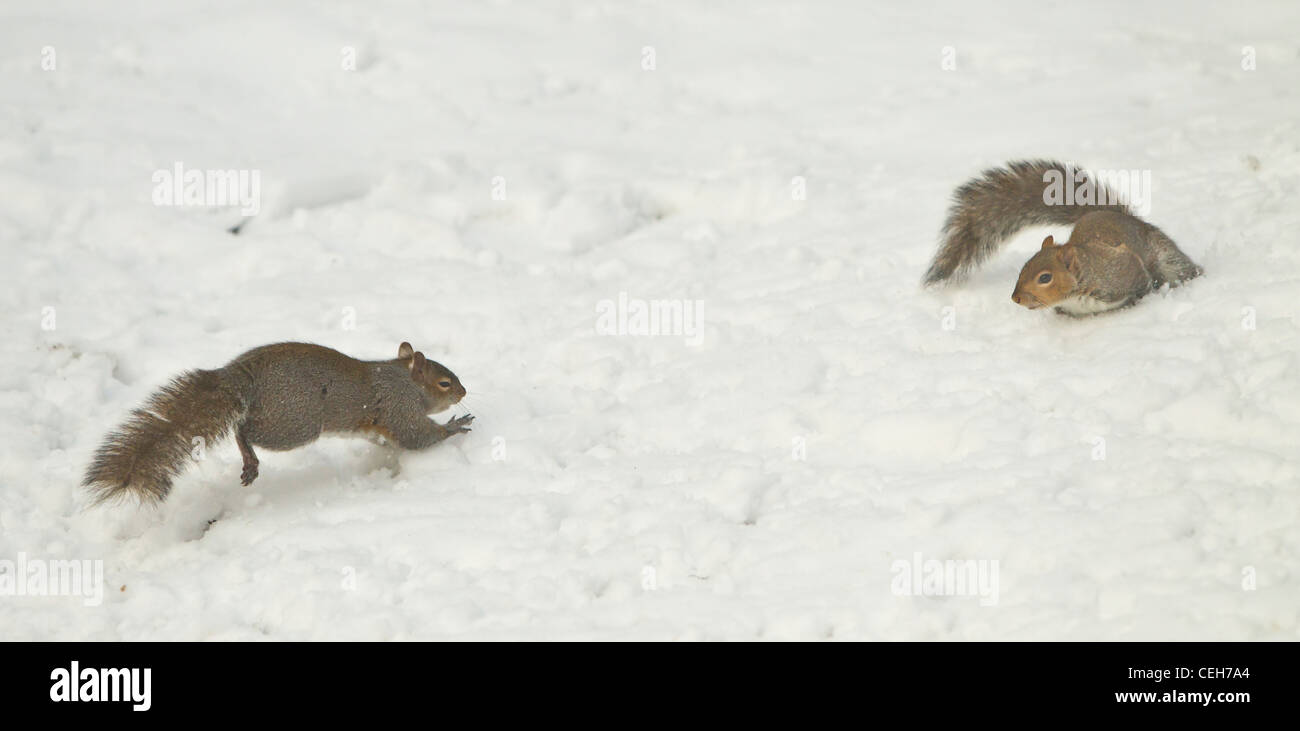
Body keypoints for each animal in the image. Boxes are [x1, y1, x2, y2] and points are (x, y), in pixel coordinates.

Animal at [79, 340, 473, 499]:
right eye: (444, 383)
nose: (464, 391)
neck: (403, 378)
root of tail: (240, 375)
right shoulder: (398, 405)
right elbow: (417, 435)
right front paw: (454, 425)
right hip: (295, 424)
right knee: (243, 430)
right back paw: (250, 460)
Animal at [920, 159, 1201, 313]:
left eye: (1045, 278)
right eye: (1023, 268)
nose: (1016, 298)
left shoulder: (1123, 269)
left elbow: (1142, 282)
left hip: (1164, 254)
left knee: (1177, 266)